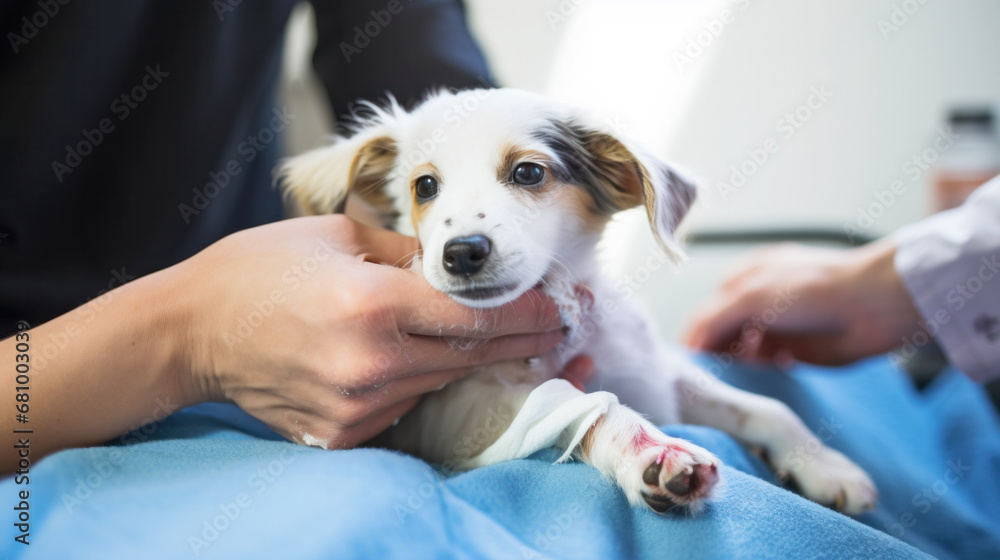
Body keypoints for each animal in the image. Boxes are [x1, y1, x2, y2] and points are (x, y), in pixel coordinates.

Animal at [280, 88, 876, 516]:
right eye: (424, 186)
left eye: (528, 172)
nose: (462, 252)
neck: (567, 323)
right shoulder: (452, 415)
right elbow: (574, 399)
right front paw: (650, 450)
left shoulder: (653, 373)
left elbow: (762, 406)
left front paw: (826, 463)